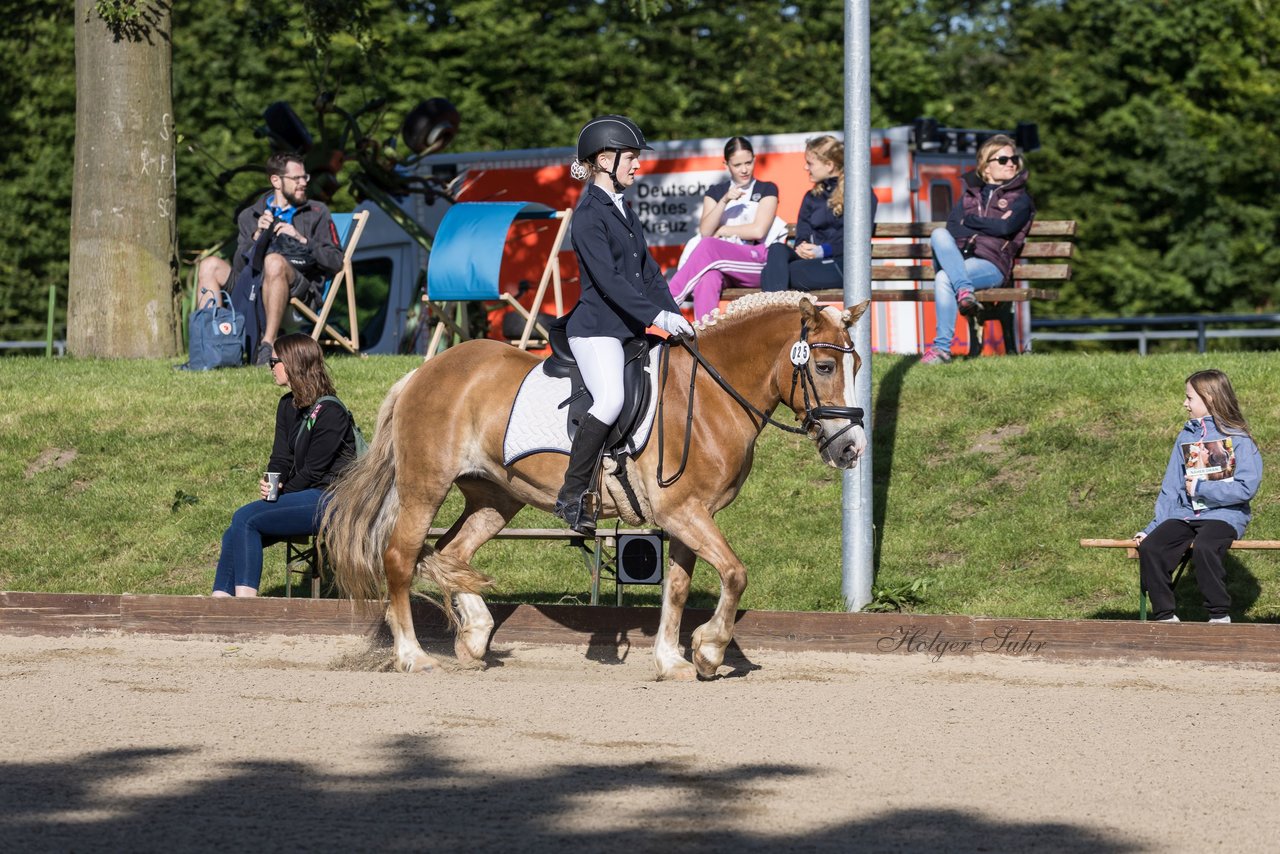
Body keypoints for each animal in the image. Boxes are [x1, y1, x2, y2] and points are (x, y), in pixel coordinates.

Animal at [325, 294, 875, 681]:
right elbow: (735, 574)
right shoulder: (683, 511)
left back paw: (476, 637)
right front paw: (709, 649)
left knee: (449, 554)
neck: (710, 394)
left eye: (856, 367)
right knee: (402, 558)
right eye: (824, 366)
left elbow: (677, 588)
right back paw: (413, 656)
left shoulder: (688, 516)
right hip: (425, 488)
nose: (852, 449)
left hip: (495, 497)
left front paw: (671, 660)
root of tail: (423, 370)